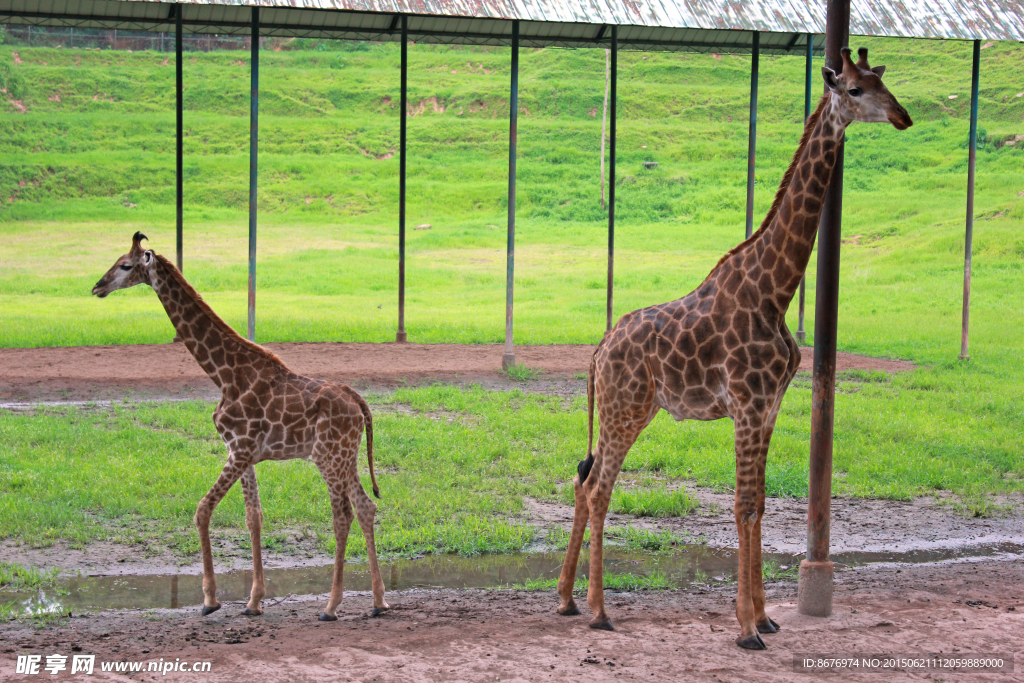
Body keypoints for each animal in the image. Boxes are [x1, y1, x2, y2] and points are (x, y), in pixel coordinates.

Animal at [92, 233, 389, 618]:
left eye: (125, 265)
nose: (97, 287)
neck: (224, 374)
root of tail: (359, 403)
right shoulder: (244, 453)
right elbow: (254, 517)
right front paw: (253, 601)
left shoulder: (239, 449)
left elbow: (203, 510)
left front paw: (210, 600)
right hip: (346, 455)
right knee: (366, 507)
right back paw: (379, 601)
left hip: (327, 457)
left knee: (343, 515)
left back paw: (331, 605)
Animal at [557, 48, 917, 647]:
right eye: (857, 90)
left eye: (883, 82)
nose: (903, 117)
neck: (776, 290)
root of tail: (598, 351)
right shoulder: (748, 405)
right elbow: (744, 505)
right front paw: (747, 627)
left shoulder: (769, 407)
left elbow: (762, 505)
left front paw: (767, 617)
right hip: (624, 408)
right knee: (600, 487)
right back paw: (598, 610)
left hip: (632, 408)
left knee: (584, 481)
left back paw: (565, 600)